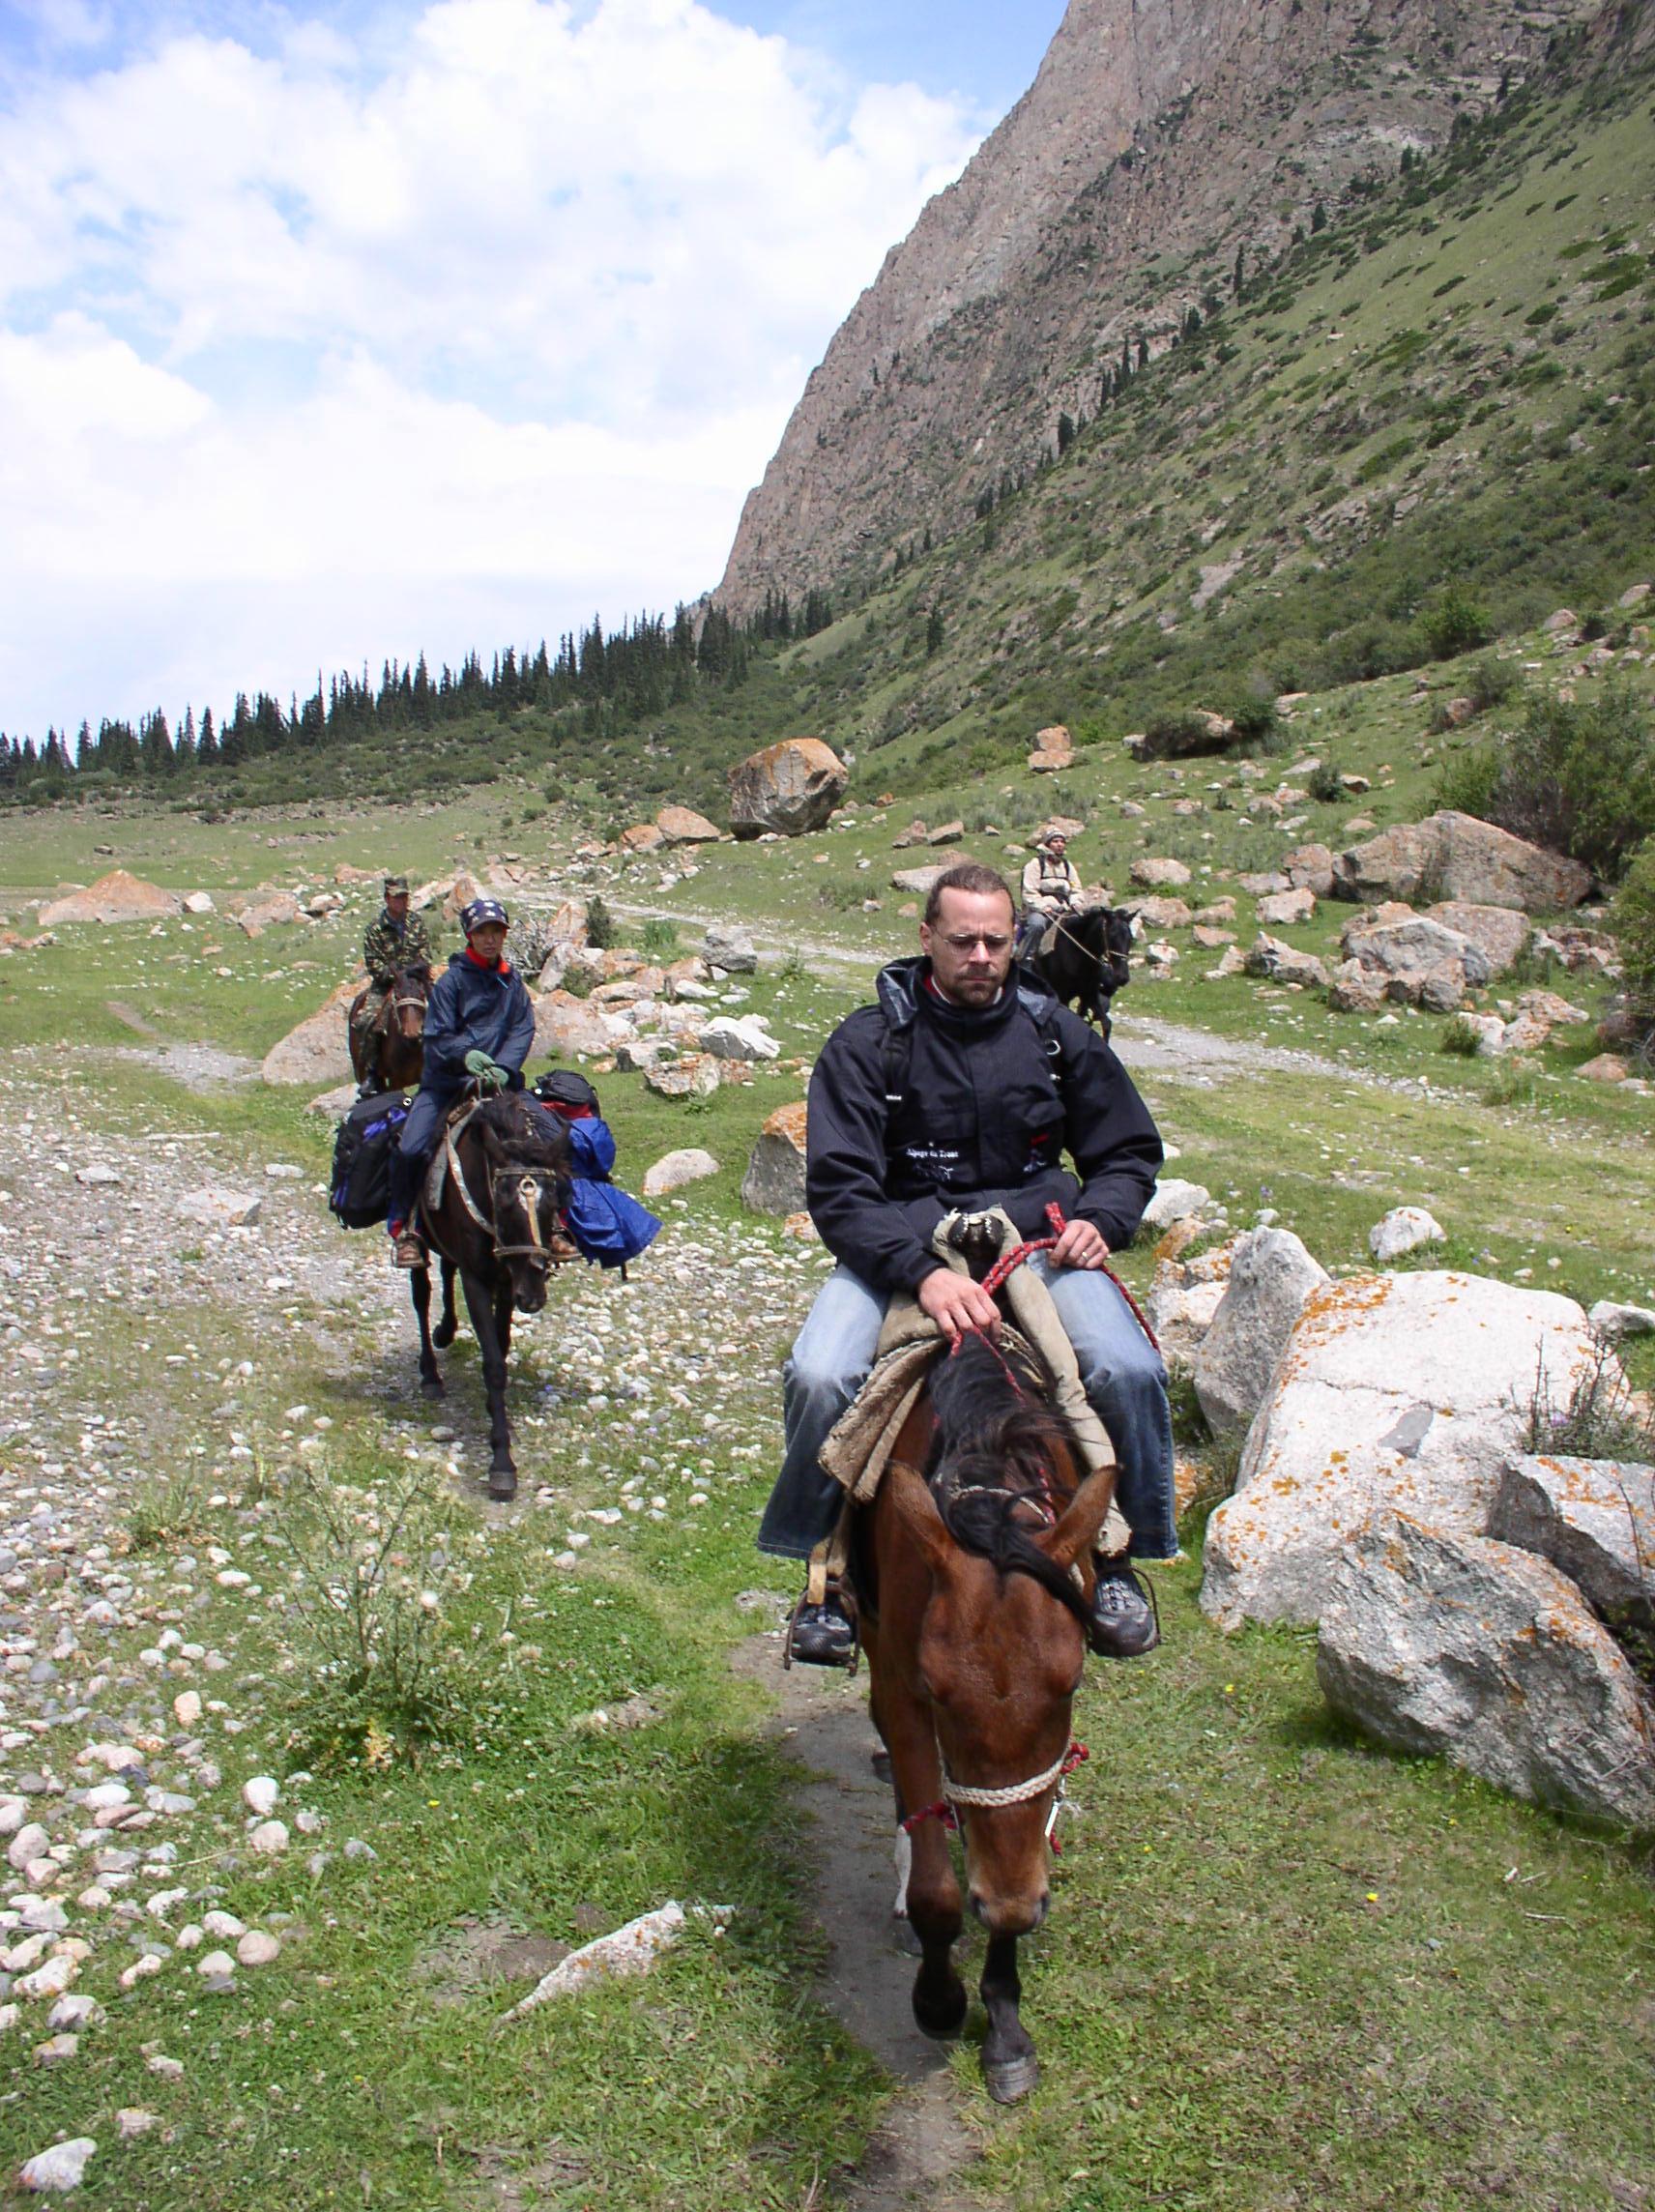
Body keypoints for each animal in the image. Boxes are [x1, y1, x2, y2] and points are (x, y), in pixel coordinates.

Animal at [407, 1092, 575, 1503]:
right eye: (504, 1203)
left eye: (555, 1203)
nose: (533, 1297)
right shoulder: (480, 1281)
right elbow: (495, 1365)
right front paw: (502, 1464)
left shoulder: (505, 1280)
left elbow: (500, 1344)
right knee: (422, 1294)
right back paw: (430, 1373)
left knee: (446, 1270)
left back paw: (446, 1331)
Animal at [858, 1326, 1119, 2106]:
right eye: (939, 1691)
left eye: (1071, 1683)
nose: (1008, 1909)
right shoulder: (901, 1687)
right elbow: (937, 1889)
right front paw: (940, 2001)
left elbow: (1018, 1834)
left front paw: (1004, 2026)